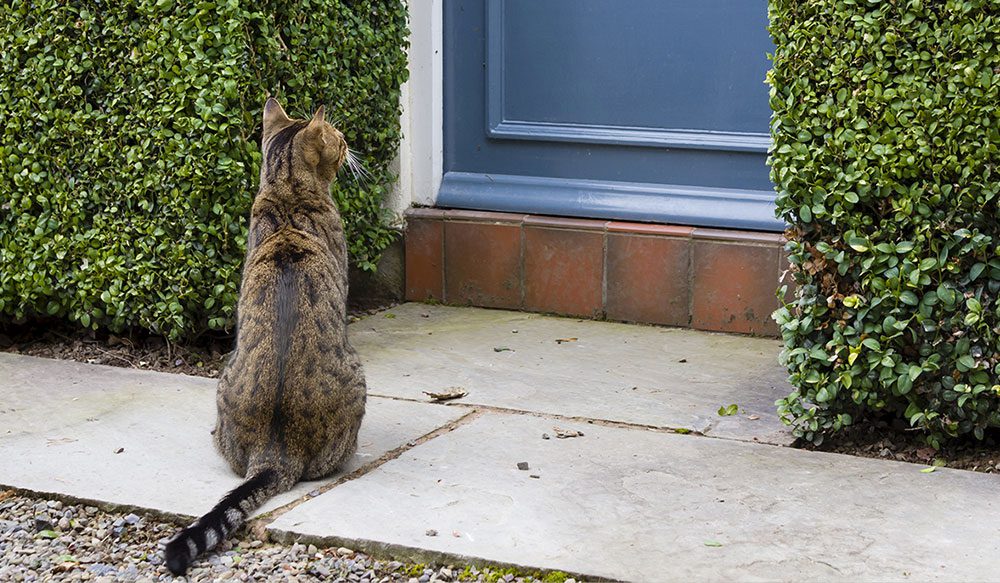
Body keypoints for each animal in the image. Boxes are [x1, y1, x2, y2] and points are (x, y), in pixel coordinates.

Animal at [164, 98, 368, 576]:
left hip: (224, 375)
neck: (287, 193)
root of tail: (274, 451)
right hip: (357, 374)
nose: (351, 146)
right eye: (340, 140)